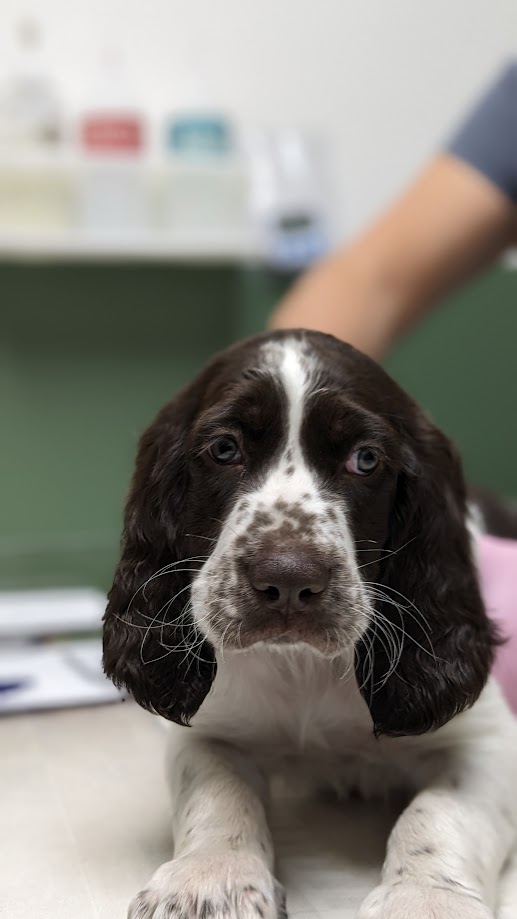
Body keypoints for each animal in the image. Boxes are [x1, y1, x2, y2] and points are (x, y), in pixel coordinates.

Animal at [102, 330, 516, 919]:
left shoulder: (488, 743)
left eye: (365, 459)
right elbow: (218, 794)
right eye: (224, 449)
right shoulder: (206, 733)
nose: (289, 581)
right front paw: (210, 879)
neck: (300, 666)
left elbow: (436, 814)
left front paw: (424, 899)